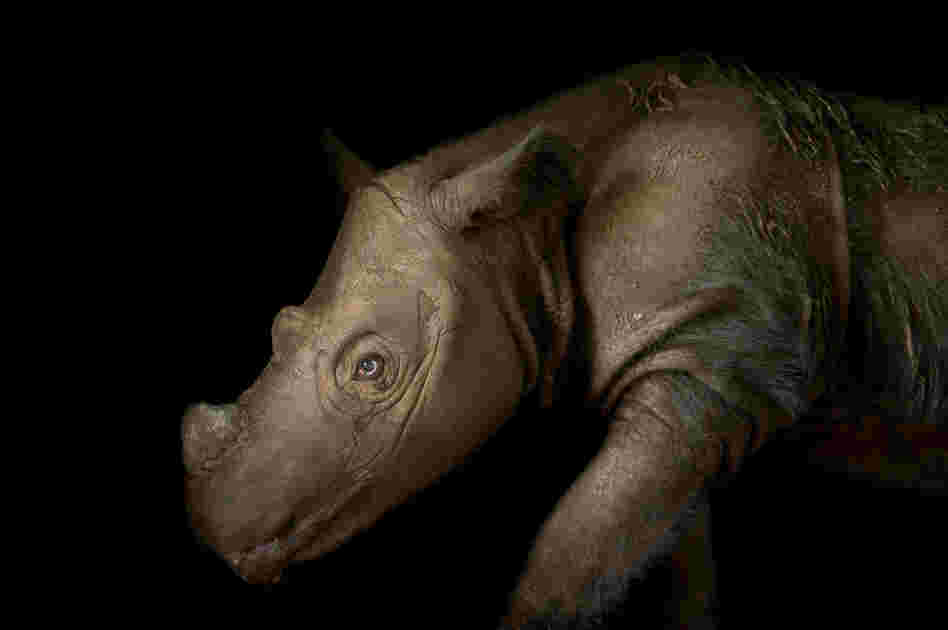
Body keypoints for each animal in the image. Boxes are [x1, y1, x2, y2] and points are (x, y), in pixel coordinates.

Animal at [182, 53, 947, 628]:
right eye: (277, 329)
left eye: (371, 369)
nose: (213, 534)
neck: (525, 229)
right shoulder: (698, 378)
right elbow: (660, 551)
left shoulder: (710, 357)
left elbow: (565, 562)